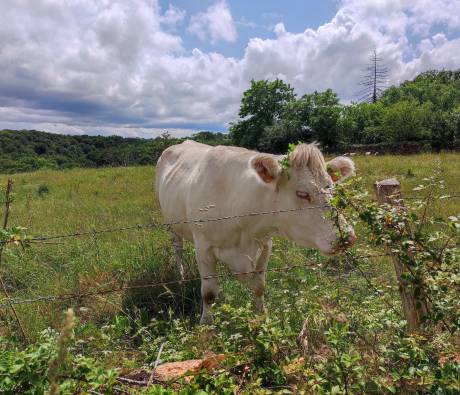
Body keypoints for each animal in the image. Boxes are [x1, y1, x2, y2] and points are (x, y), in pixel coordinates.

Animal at [155, 141, 356, 324]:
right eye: (302, 193)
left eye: (332, 188)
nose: (347, 236)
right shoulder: (203, 247)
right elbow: (209, 292)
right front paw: (206, 323)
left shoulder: (265, 244)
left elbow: (259, 287)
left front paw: (262, 316)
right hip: (170, 224)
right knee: (178, 249)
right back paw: (181, 275)